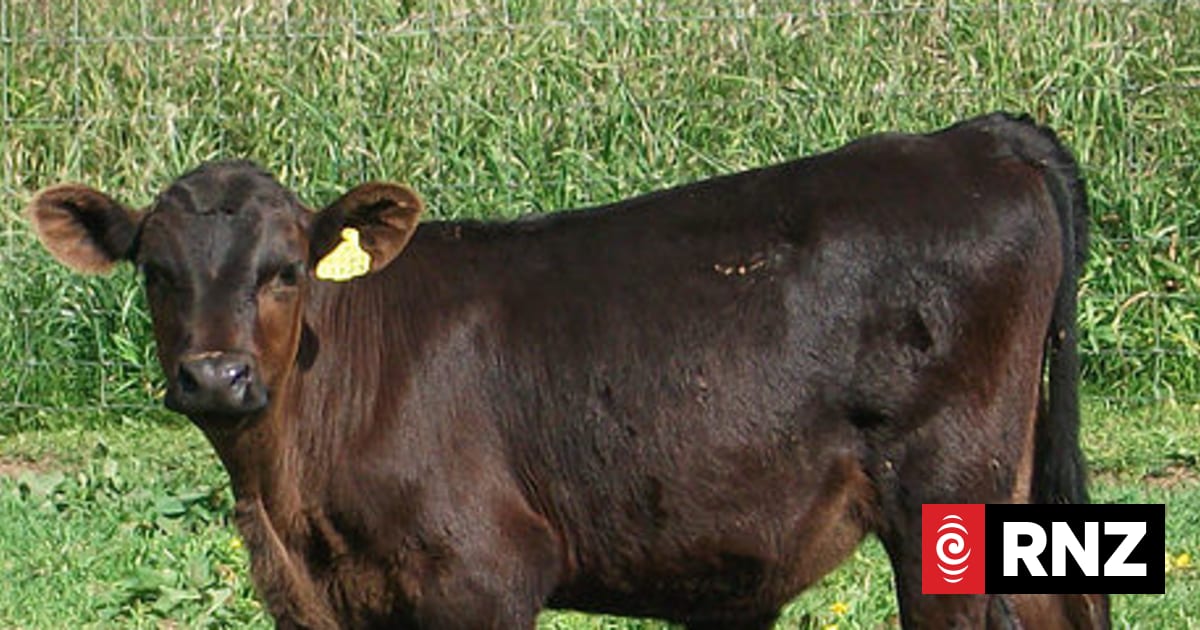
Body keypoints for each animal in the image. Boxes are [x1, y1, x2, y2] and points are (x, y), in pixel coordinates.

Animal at [29, 112, 1108, 629]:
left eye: (286, 269)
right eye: (156, 271)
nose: (215, 378)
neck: (291, 507)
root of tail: (974, 139)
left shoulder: (483, 576)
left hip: (944, 503)